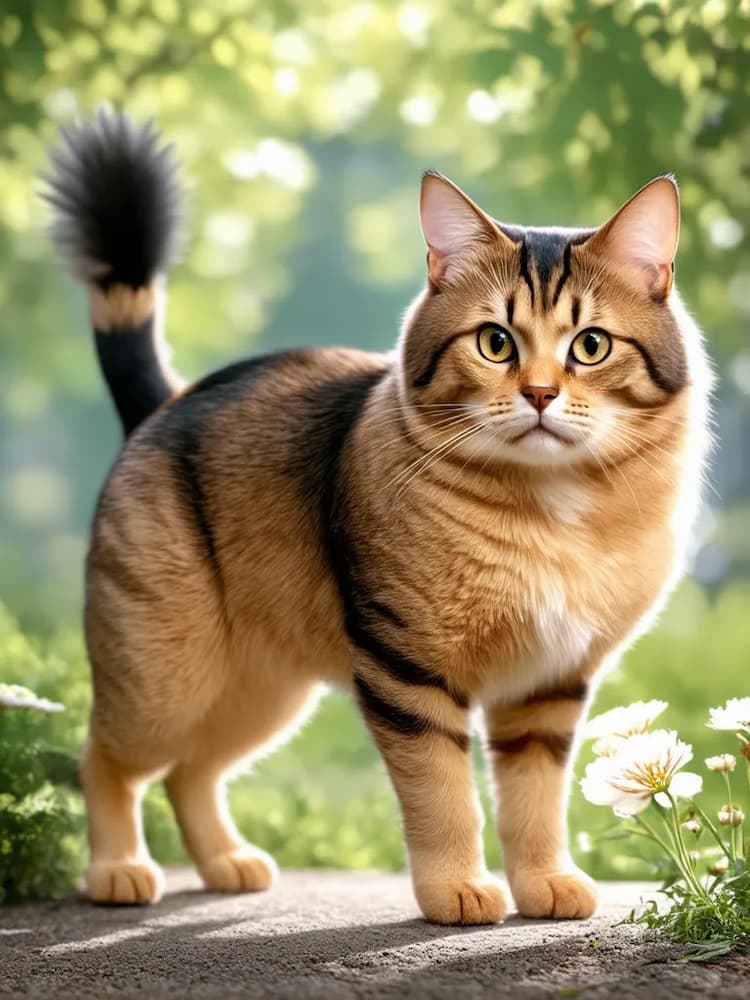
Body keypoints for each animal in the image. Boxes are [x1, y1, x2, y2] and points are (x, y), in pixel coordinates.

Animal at [44, 109, 712, 920]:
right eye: (495, 342)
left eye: (590, 345)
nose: (540, 394)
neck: (549, 509)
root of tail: (166, 402)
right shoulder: (407, 667)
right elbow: (443, 794)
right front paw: (456, 888)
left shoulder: (548, 686)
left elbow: (534, 802)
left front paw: (543, 881)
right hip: (166, 675)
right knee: (104, 755)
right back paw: (117, 868)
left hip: (261, 690)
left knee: (190, 771)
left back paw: (228, 862)